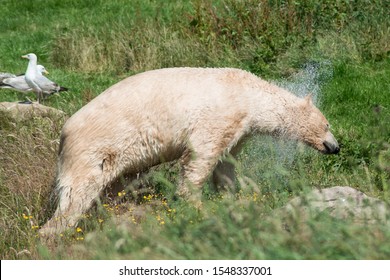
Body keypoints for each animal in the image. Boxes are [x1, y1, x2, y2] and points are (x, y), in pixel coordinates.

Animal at [38, 67, 338, 234]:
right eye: (326, 124)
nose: (335, 146)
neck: (248, 95)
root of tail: (64, 134)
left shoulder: (238, 130)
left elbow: (226, 162)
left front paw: (231, 196)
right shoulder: (220, 115)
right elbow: (201, 154)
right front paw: (197, 206)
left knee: (114, 187)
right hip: (97, 148)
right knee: (78, 193)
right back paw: (52, 233)